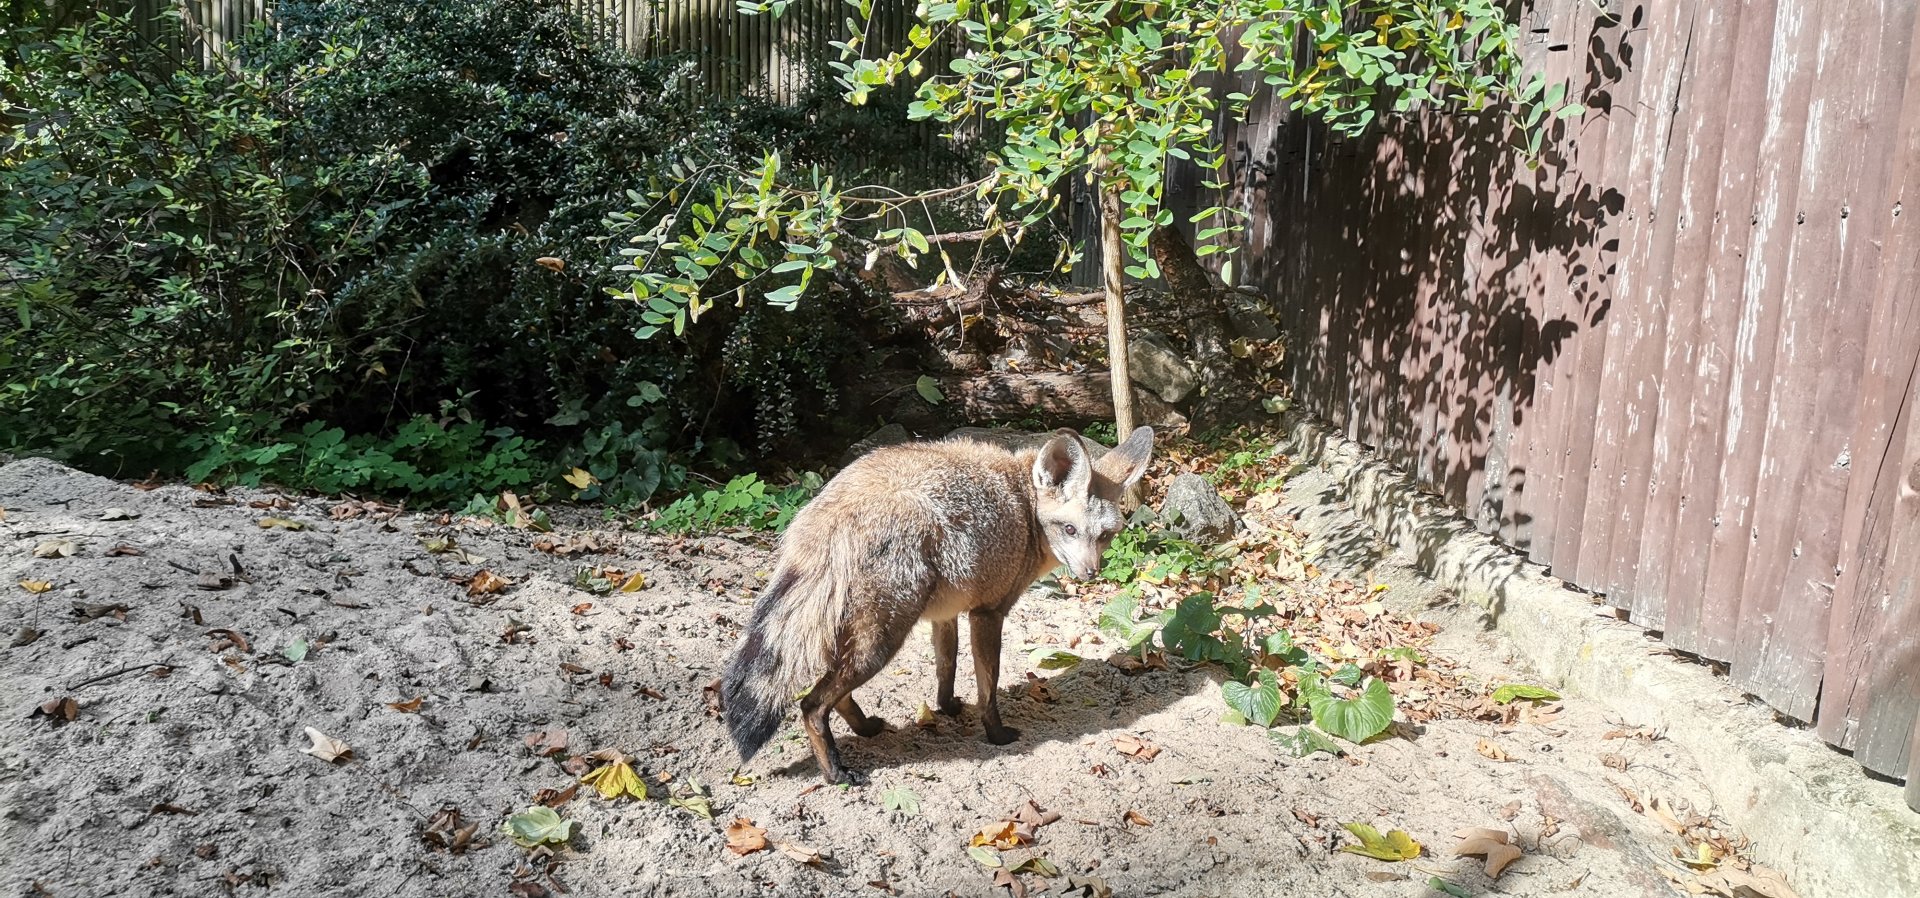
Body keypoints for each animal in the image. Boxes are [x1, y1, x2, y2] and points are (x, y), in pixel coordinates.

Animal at [720, 426, 1155, 784]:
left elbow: (947, 668)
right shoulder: (988, 613)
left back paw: (865, 729)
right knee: (811, 704)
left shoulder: (946, 614)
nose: (1090, 574)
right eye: (1069, 530)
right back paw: (835, 772)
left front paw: (947, 708)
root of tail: (834, 509)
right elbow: (988, 687)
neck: (1023, 508)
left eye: (1105, 536)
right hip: (881, 643)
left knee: (832, 693)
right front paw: (996, 734)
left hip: (859, 635)